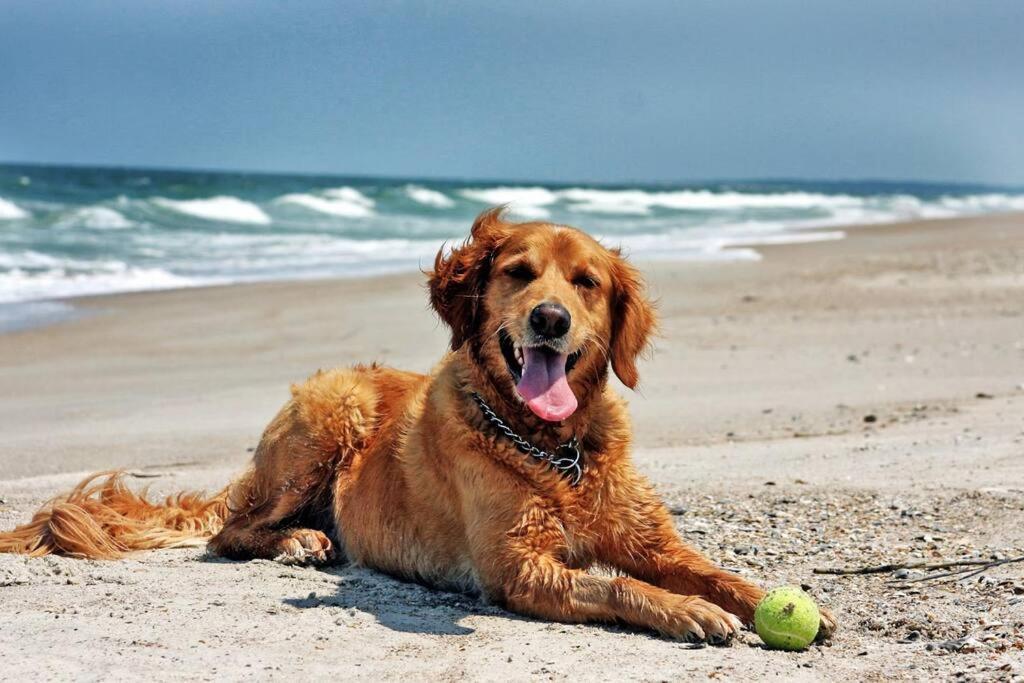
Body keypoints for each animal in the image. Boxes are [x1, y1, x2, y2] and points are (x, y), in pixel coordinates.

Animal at [0, 209, 831, 647]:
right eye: (517, 272)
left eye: (586, 283)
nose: (550, 319)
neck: (551, 448)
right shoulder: (518, 567)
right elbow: (619, 583)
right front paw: (688, 611)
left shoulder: (649, 539)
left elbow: (711, 569)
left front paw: (768, 598)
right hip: (325, 419)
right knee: (230, 531)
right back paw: (299, 540)